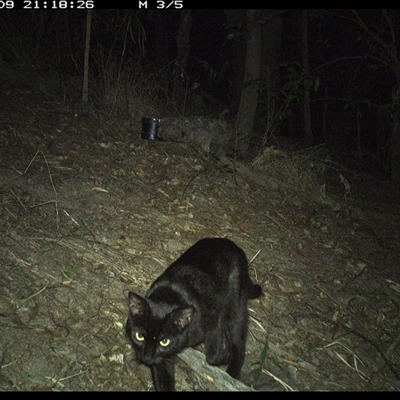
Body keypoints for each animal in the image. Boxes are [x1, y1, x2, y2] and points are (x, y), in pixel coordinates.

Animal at [126, 238, 262, 390]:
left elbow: (212, 357)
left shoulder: (215, 322)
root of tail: (234, 246)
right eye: (139, 336)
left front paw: (225, 355)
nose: (147, 357)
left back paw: (232, 372)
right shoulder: (162, 359)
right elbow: (163, 383)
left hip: (235, 308)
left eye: (164, 341)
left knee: (239, 343)